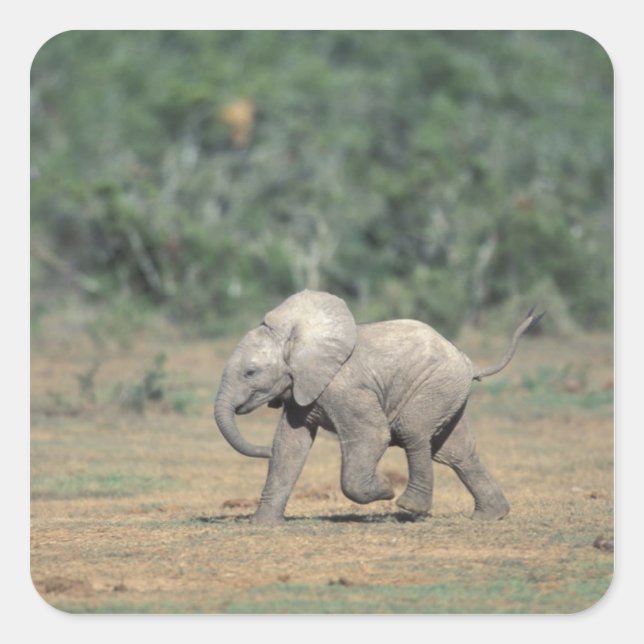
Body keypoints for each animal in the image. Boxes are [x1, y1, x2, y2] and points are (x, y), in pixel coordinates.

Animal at [214, 289, 543, 525]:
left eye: (250, 373)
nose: (262, 450)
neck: (297, 338)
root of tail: (469, 361)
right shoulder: (301, 389)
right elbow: (289, 446)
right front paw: (262, 525)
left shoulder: (344, 388)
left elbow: (372, 435)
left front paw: (384, 489)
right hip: (450, 393)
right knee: (455, 453)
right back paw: (489, 516)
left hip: (436, 385)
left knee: (413, 432)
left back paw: (409, 507)